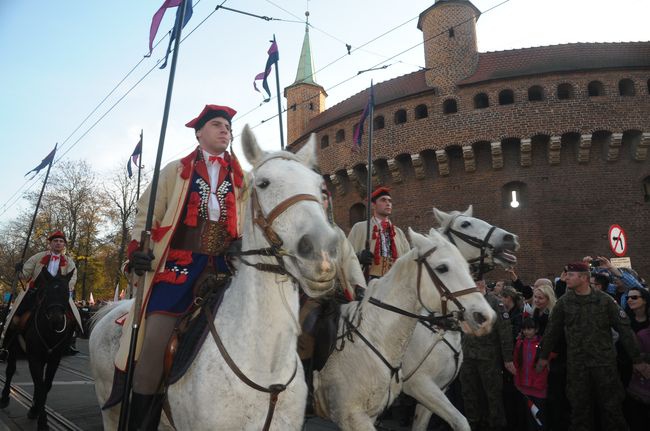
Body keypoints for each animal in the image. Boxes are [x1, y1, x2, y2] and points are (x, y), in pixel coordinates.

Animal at [0, 268, 74, 430]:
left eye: (66, 292)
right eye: (47, 292)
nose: (56, 319)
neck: (50, 331)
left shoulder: (54, 360)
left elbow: (45, 386)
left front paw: (35, 410)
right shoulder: (34, 358)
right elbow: (40, 387)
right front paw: (42, 421)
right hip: (13, 348)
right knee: (10, 371)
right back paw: (5, 397)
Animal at [90, 126, 340, 430]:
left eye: (320, 188)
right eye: (264, 183)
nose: (323, 251)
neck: (266, 367)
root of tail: (113, 310)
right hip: (111, 408)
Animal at [312, 230, 494, 431]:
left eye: (467, 267)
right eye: (442, 268)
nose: (484, 316)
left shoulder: (433, 392)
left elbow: (455, 421)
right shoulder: (417, 386)